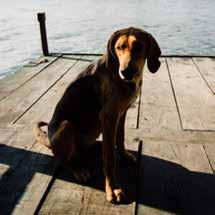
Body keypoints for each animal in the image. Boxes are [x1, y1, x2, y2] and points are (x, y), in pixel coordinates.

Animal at [34, 26, 160, 203]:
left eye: (138, 47)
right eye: (119, 47)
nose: (126, 72)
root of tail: (49, 140)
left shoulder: (121, 113)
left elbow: (120, 139)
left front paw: (123, 155)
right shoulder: (109, 117)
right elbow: (109, 159)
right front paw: (113, 188)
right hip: (66, 126)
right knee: (63, 160)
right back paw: (78, 169)